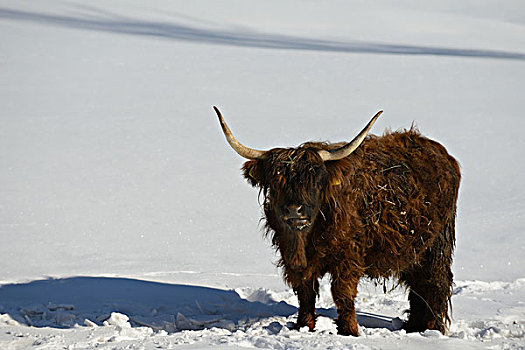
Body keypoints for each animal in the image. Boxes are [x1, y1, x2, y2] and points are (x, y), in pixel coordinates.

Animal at [213, 106, 458, 336]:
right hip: (415, 248)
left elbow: (342, 293)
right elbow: (305, 291)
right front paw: (304, 326)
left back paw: (432, 328)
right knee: (418, 285)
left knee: (435, 283)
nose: (294, 211)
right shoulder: (292, 256)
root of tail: (440, 152)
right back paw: (413, 327)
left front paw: (349, 330)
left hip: (438, 244)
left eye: (315, 181)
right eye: (276, 181)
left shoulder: (348, 256)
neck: (307, 238)